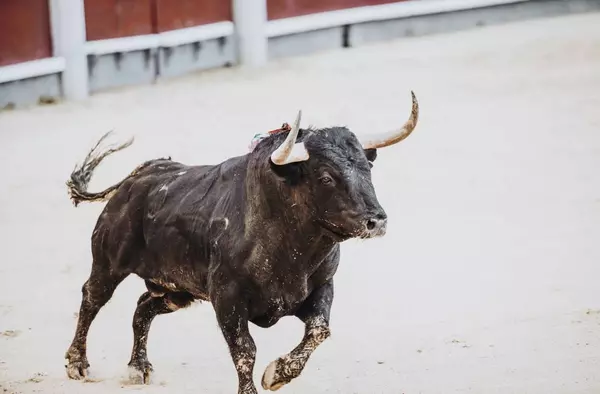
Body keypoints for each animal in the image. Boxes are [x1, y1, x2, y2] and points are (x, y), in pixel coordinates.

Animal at [63, 91, 418, 392]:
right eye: (326, 177)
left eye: (367, 169)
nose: (376, 221)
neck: (291, 247)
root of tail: (137, 177)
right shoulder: (227, 298)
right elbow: (245, 350)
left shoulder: (320, 286)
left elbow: (319, 329)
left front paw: (277, 375)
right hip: (108, 264)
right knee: (91, 298)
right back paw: (77, 363)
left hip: (176, 290)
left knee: (143, 306)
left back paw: (138, 367)